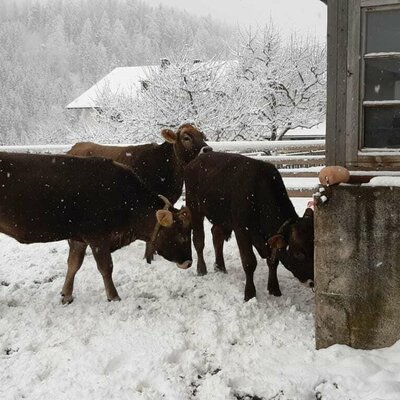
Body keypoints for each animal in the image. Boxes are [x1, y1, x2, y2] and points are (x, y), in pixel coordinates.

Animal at [0, 153, 192, 304]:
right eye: (181, 234)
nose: (189, 262)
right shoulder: (97, 237)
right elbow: (106, 267)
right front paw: (113, 296)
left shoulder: (79, 237)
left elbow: (73, 264)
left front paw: (66, 294)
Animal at [185, 152, 316, 302]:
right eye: (299, 253)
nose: (313, 281)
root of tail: (197, 159)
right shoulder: (241, 230)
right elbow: (249, 262)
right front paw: (249, 294)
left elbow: (273, 262)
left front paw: (274, 289)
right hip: (194, 209)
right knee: (199, 240)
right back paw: (201, 269)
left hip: (221, 218)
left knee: (216, 235)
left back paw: (220, 267)